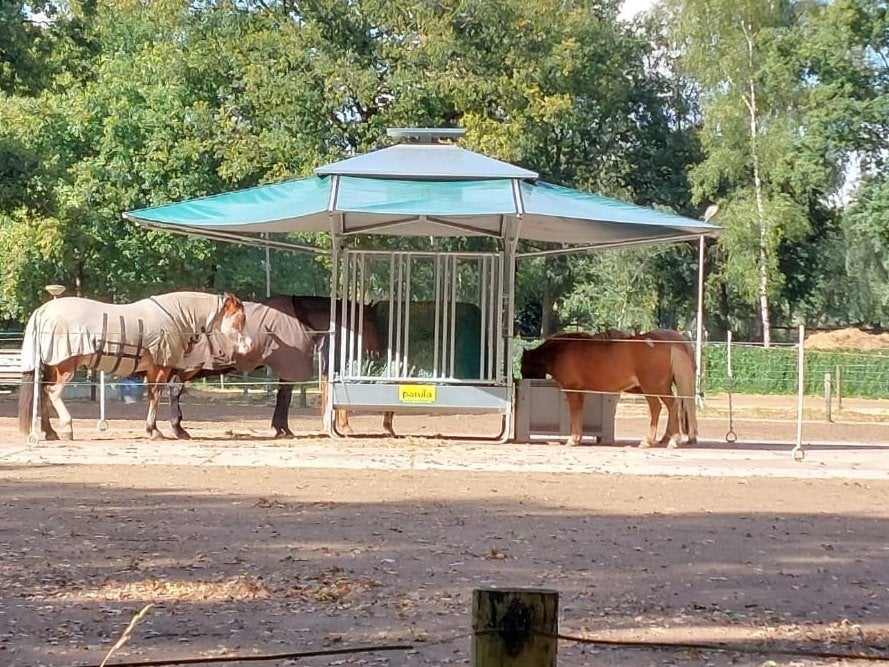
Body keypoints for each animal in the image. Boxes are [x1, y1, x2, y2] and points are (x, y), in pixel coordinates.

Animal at [18, 291, 248, 441]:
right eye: (241, 317)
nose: (247, 346)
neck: (175, 316)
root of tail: (43, 310)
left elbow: (156, 396)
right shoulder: (160, 367)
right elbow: (155, 396)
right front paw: (154, 430)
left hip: (52, 365)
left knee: (44, 393)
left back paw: (50, 432)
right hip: (65, 366)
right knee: (52, 392)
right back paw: (67, 428)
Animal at [520, 329, 697, 448]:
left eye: (523, 367)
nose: (522, 377)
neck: (563, 349)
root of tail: (669, 345)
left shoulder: (572, 390)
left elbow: (574, 412)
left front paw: (572, 439)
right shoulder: (581, 391)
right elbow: (579, 413)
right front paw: (578, 438)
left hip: (652, 388)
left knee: (658, 408)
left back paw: (652, 440)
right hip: (662, 388)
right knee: (672, 406)